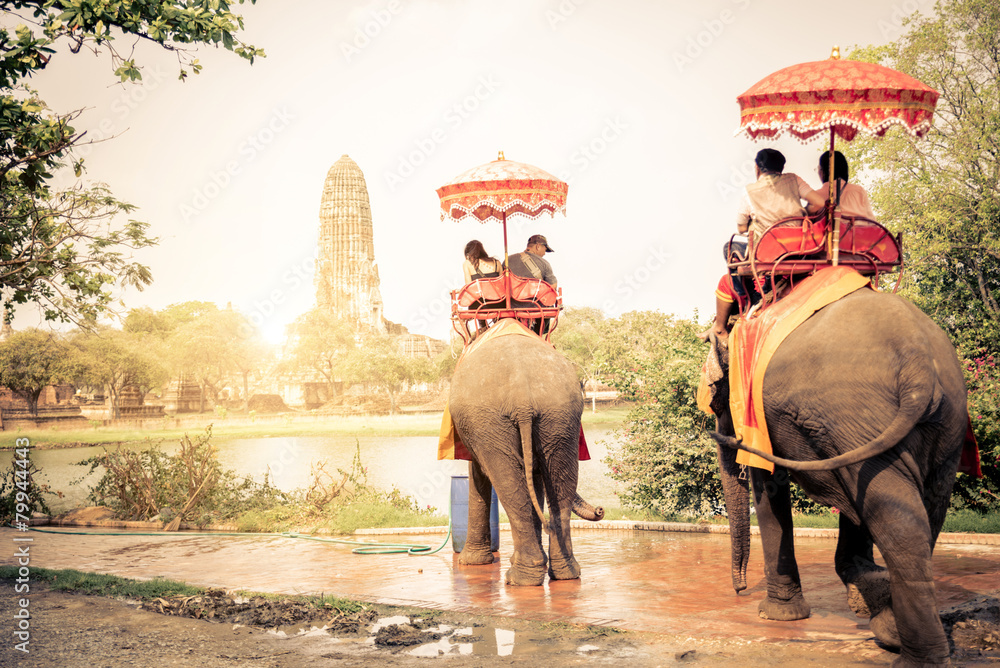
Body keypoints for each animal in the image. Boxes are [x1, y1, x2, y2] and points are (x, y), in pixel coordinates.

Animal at [452, 328, 604, 584]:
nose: (600, 510)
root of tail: (521, 394)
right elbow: (536, 476)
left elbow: (481, 472)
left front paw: (470, 562)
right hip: (559, 415)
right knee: (559, 481)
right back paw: (564, 573)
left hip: (492, 420)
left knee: (507, 481)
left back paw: (520, 578)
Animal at [704, 288, 968, 668]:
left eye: (716, 403)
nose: (739, 590)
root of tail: (918, 365)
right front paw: (863, 583)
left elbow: (768, 487)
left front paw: (777, 615)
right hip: (937, 423)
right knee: (918, 508)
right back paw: (891, 630)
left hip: (855, 412)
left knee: (892, 515)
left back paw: (908, 653)